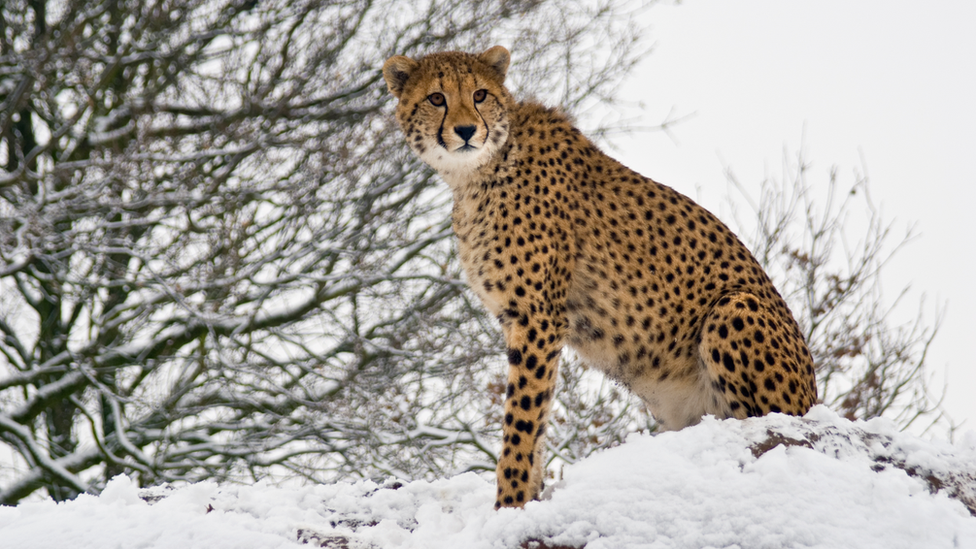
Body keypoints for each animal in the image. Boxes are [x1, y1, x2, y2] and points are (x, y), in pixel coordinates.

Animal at [382, 46, 816, 510]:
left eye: (479, 94)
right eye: (436, 98)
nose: (466, 130)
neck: (478, 171)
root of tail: (813, 398)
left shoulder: (537, 318)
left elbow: (522, 420)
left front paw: (509, 503)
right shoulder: (523, 321)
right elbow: (537, 420)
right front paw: (528, 498)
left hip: (735, 306)